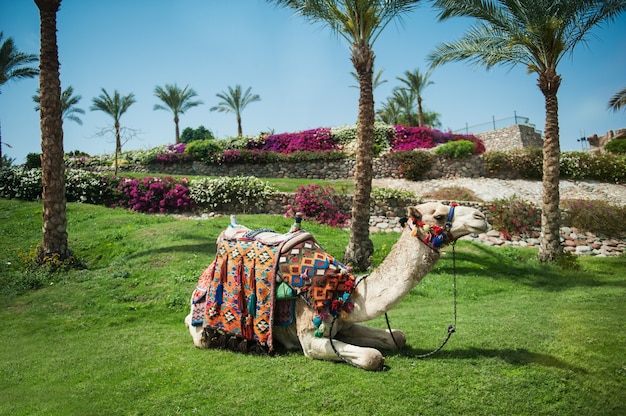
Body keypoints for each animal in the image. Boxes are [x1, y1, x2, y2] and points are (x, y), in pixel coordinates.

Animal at [185, 202, 488, 370]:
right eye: (438, 216)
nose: (481, 217)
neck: (344, 291)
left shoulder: (345, 323)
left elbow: (397, 337)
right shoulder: (310, 338)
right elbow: (373, 357)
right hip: (202, 309)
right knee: (195, 326)